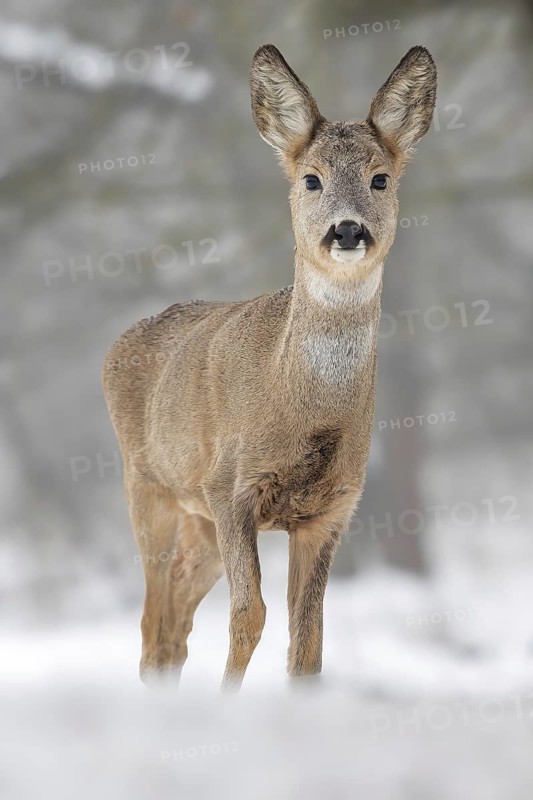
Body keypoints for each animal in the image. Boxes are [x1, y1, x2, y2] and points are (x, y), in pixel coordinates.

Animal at [102, 43, 437, 691]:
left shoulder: (332, 509)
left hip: (197, 522)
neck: (302, 410)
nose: (348, 229)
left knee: (174, 623)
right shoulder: (229, 486)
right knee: (153, 623)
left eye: (380, 178)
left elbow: (308, 639)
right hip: (148, 484)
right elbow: (249, 614)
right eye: (311, 179)